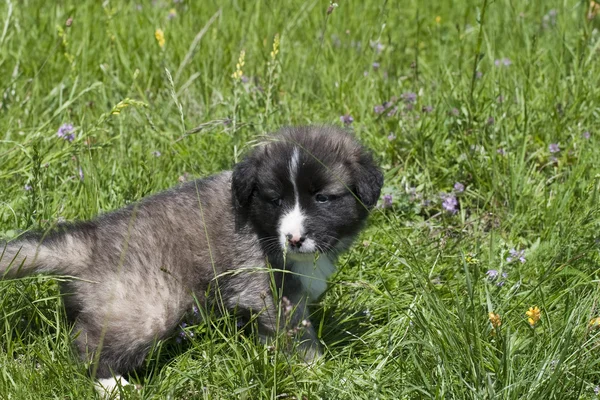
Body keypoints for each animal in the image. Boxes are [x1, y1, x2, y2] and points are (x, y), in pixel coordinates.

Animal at [0, 126, 382, 396]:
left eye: (322, 198)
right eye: (275, 200)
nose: (294, 238)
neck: (261, 224)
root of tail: (88, 242)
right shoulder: (272, 293)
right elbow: (300, 339)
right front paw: (319, 371)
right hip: (147, 308)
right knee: (89, 348)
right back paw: (113, 385)